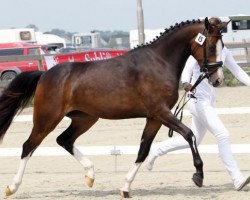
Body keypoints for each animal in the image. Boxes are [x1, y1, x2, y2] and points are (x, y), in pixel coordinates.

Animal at [0, 17, 227, 198]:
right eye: (212, 47)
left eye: (222, 45)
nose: (218, 79)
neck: (159, 62)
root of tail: (44, 75)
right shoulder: (161, 112)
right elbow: (189, 134)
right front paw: (198, 175)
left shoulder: (154, 118)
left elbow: (143, 151)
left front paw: (125, 188)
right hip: (47, 118)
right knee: (28, 146)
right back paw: (12, 187)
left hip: (85, 118)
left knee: (64, 140)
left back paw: (90, 175)